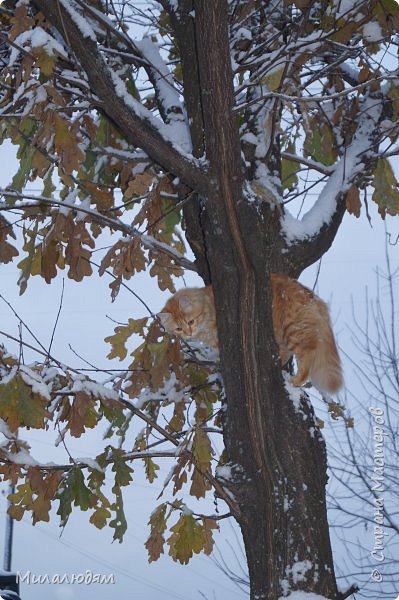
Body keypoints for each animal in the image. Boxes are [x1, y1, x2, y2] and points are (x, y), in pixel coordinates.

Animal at [159, 274, 344, 396]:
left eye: (190, 322)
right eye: (179, 329)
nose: (189, 333)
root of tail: (313, 297)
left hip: (293, 330)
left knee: (307, 355)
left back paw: (296, 380)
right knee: (287, 353)